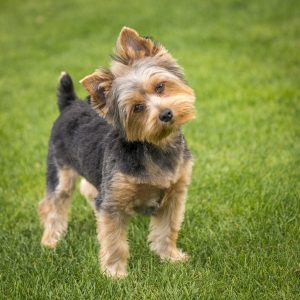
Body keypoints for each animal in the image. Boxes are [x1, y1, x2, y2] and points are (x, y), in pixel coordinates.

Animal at [37, 27, 196, 278]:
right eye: (137, 108)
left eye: (160, 86)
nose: (166, 114)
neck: (154, 146)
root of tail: (70, 103)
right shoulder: (113, 201)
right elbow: (114, 241)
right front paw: (115, 274)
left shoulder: (175, 193)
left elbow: (167, 229)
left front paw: (170, 257)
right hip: (59, 166)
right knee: (53, 202)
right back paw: (51, 239)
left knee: (87, 189)